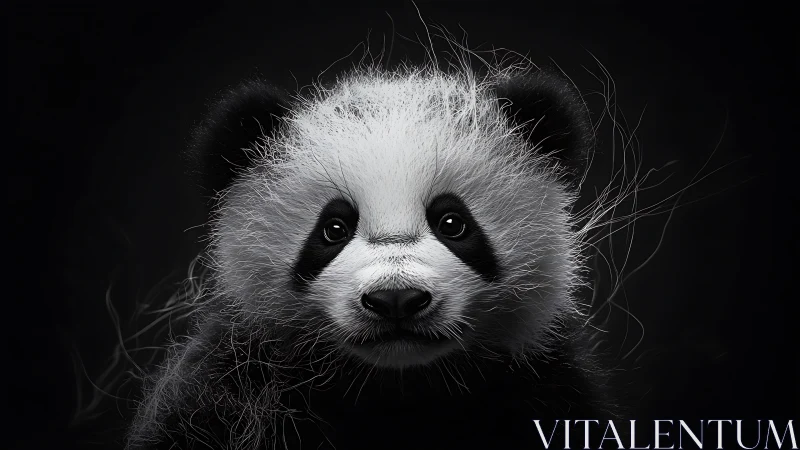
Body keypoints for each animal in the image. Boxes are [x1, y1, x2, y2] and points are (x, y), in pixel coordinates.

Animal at [124, 56, 626, 450]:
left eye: (453, 223)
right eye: (333, 229)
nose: (396, 299)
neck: (396, 386)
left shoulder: (545, 383)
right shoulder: (228, 385)